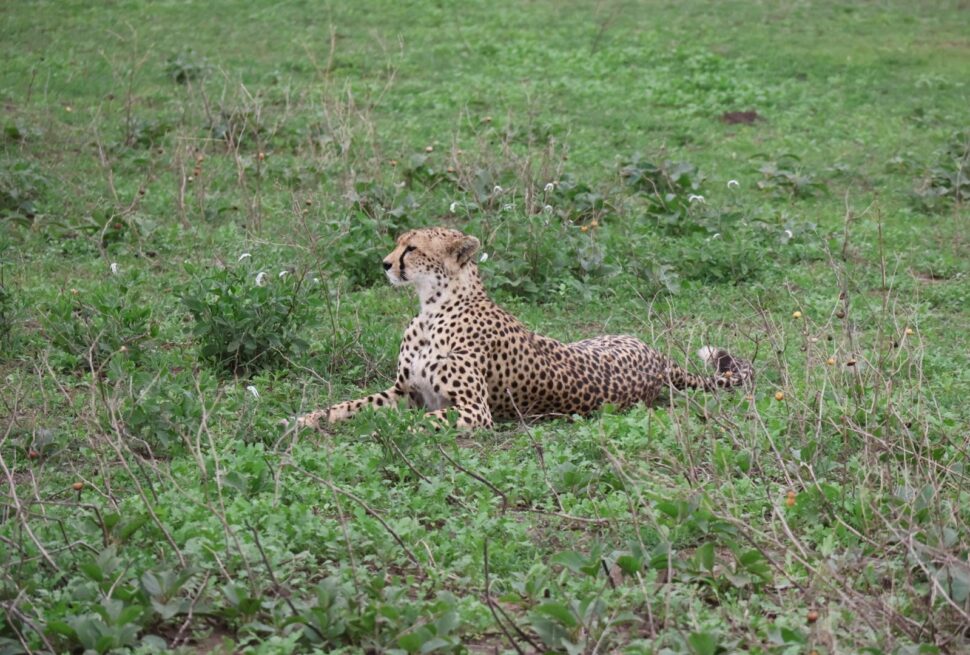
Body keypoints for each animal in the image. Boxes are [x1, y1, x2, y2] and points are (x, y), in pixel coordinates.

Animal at [295, 227, 753, 430]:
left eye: (412, 248)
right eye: (397, 243)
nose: (385, 264)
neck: (432, 308)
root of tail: (658, 359)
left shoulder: (473, 412)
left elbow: (410, 423)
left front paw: (377, 431)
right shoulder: (405, 391)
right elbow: (350, 405)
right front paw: (307, 418)